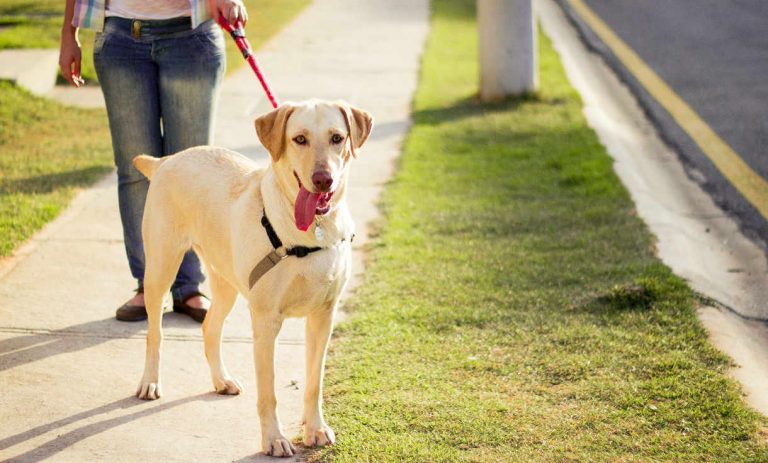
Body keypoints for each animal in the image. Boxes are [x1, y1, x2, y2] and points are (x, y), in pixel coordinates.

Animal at [130, 99, 374, 456]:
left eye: (337, 138)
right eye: (299, 139)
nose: (323, 180)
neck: (311, 231)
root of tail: (167, 160)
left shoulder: (323, 316)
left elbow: (314, 382)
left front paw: (315, 428)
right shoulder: (266, 320)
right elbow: (268, 392)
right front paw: (274, 439)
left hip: (226, 282)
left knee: (210, 327)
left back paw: (222, 380)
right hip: (161, 267)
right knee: (154, 333)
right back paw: (149, 381)